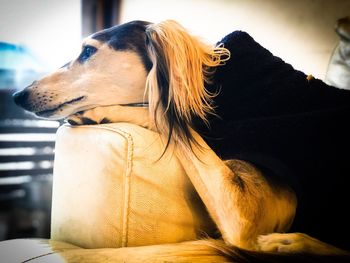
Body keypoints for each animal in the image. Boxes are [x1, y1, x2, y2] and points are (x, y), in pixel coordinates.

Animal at [13, 20, 350, 262]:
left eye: (87, 52)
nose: (18, 95)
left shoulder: (244, 219)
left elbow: (167, 115)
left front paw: (98, 113)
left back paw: (291, 241)